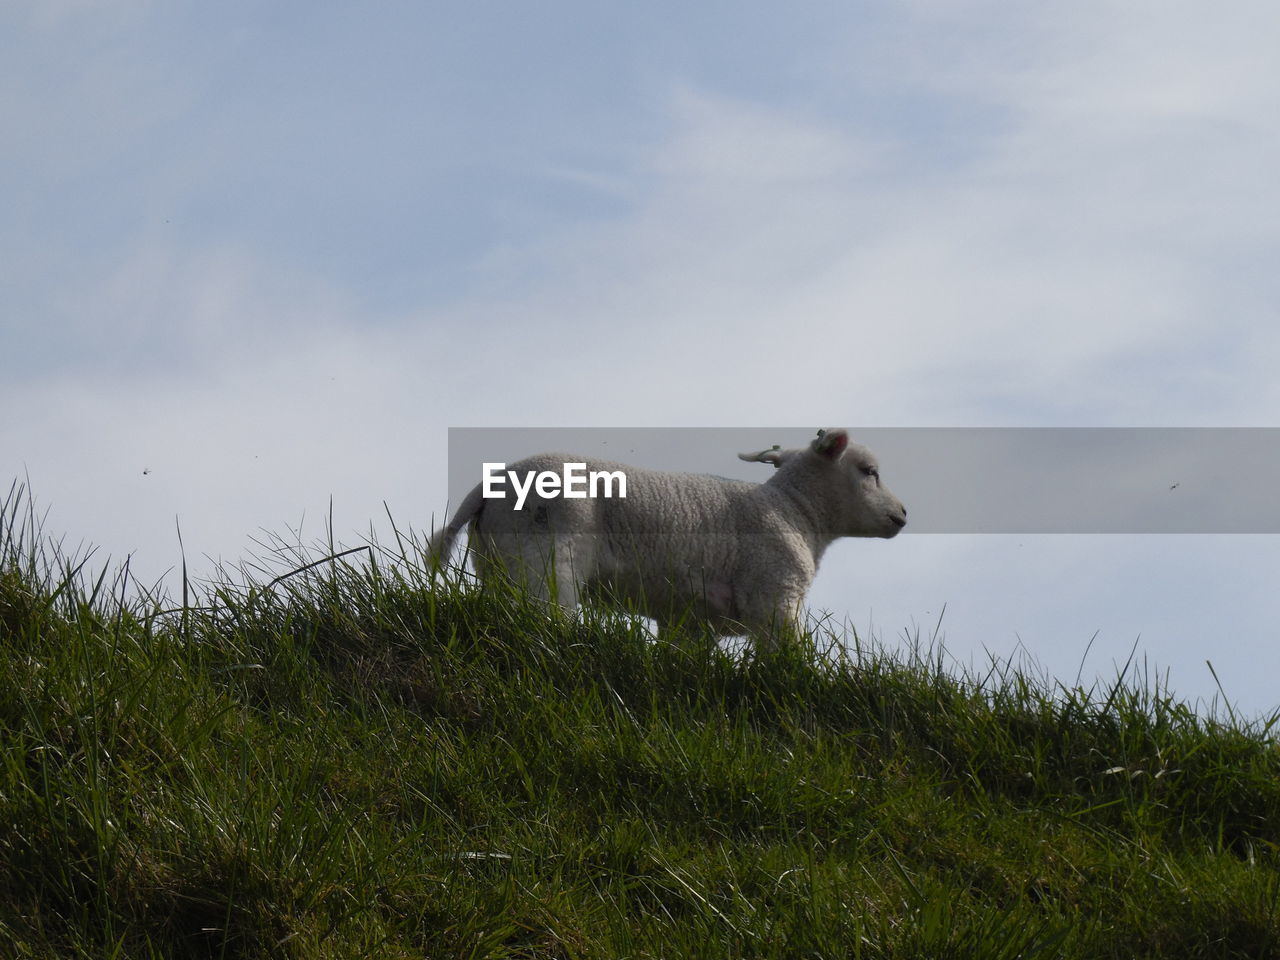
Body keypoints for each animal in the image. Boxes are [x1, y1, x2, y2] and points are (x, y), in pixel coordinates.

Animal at [430, 427, 911, 647]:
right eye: (869, 472)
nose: (903, 515)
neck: (797, 511)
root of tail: (487, 488)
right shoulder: (776, 592)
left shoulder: (690, 621)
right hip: (546, 553)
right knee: (546, 611)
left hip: (497, 561)